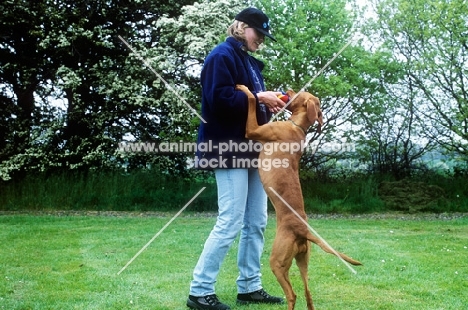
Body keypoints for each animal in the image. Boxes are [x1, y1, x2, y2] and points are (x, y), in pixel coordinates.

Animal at [236, 85, 360, 310]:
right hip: (302, 260)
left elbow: (250, 100)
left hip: (277, 262)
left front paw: (245, 88)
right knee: (308, 294)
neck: (297, 126)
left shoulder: (253, 130)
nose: (289, 89)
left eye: (301, 93)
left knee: (292, 294)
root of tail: (303, 231)